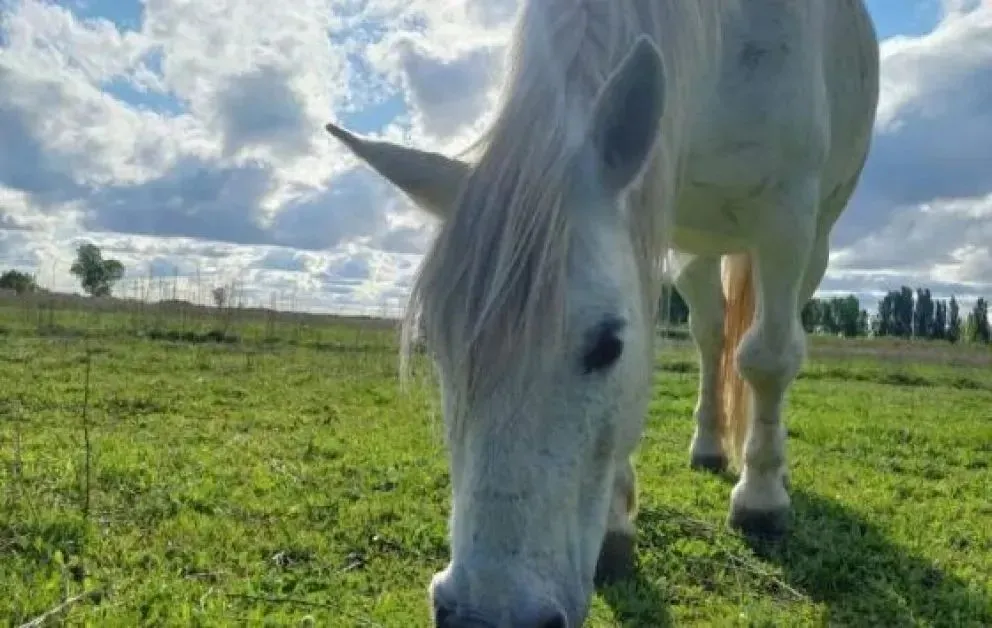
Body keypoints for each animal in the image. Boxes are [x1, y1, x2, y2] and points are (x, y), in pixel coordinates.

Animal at [324, 1, 880, 625]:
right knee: (711, 336)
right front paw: (617, 522)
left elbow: (768, 359)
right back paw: (709, 445)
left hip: (814, 237)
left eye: (608, 345)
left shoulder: (787, 212)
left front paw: (760, 499)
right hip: (694, 247)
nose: (488, 614)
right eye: (434, 346)